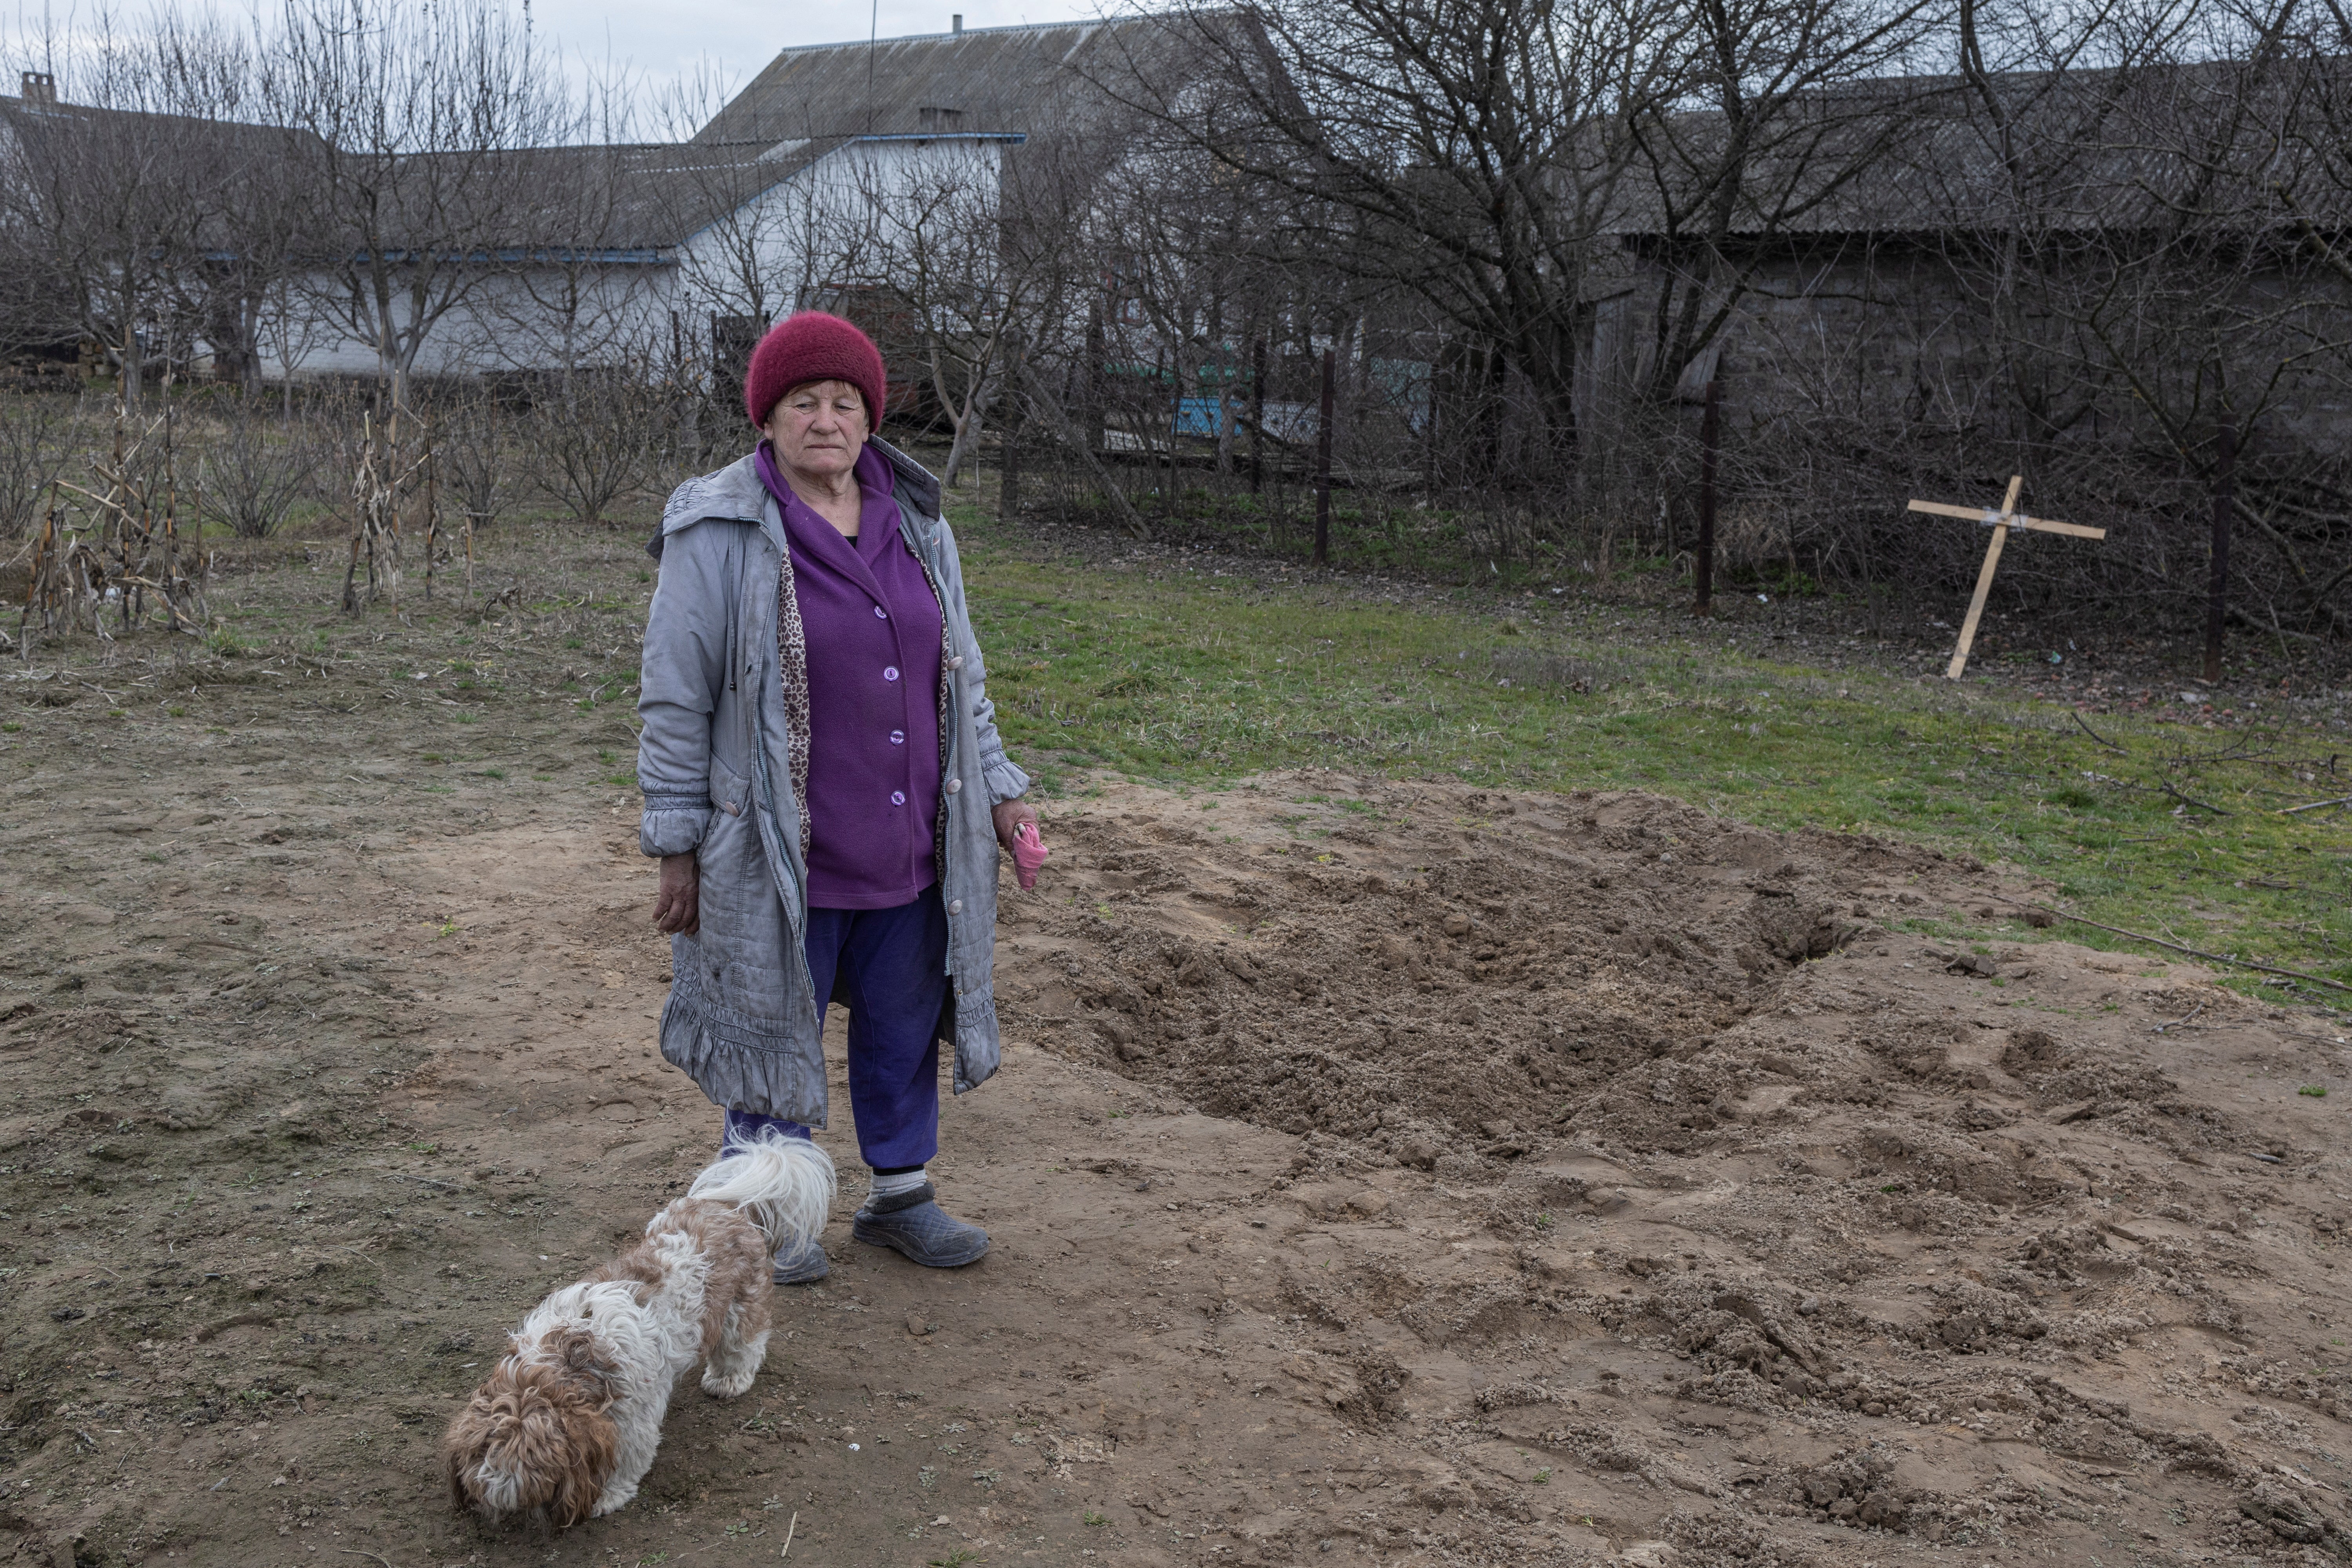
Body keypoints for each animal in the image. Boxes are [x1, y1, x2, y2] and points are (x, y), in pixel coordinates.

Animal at [442, 1133, 837, 1523]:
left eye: (540, 1485)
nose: (510, 1517)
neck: (569, 1357)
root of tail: (731, 1207)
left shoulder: (633, 1416)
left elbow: (625, 1460)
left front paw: (605, 1495)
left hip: (740, 1308)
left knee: (742, 1346)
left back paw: (729, 1379)